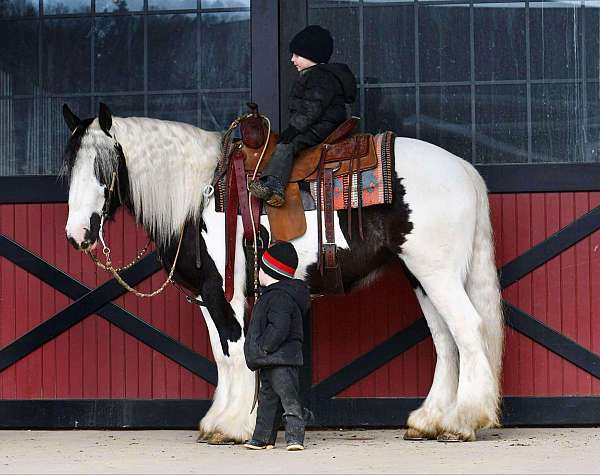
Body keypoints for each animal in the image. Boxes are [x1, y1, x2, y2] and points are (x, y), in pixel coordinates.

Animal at [61, 103, 504, 442]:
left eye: (103, 167)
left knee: (467, 329)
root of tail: (464, 169)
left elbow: (236, 350)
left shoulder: (227, 292)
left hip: (437, 274)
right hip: (421, 276)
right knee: (445, 340)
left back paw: (463, 421)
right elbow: (220, 354)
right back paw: (430, 421)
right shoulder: (206, 294)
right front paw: (218, 421)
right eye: (69, 166)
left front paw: (237, 424)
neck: (201, 194)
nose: (77, 233)